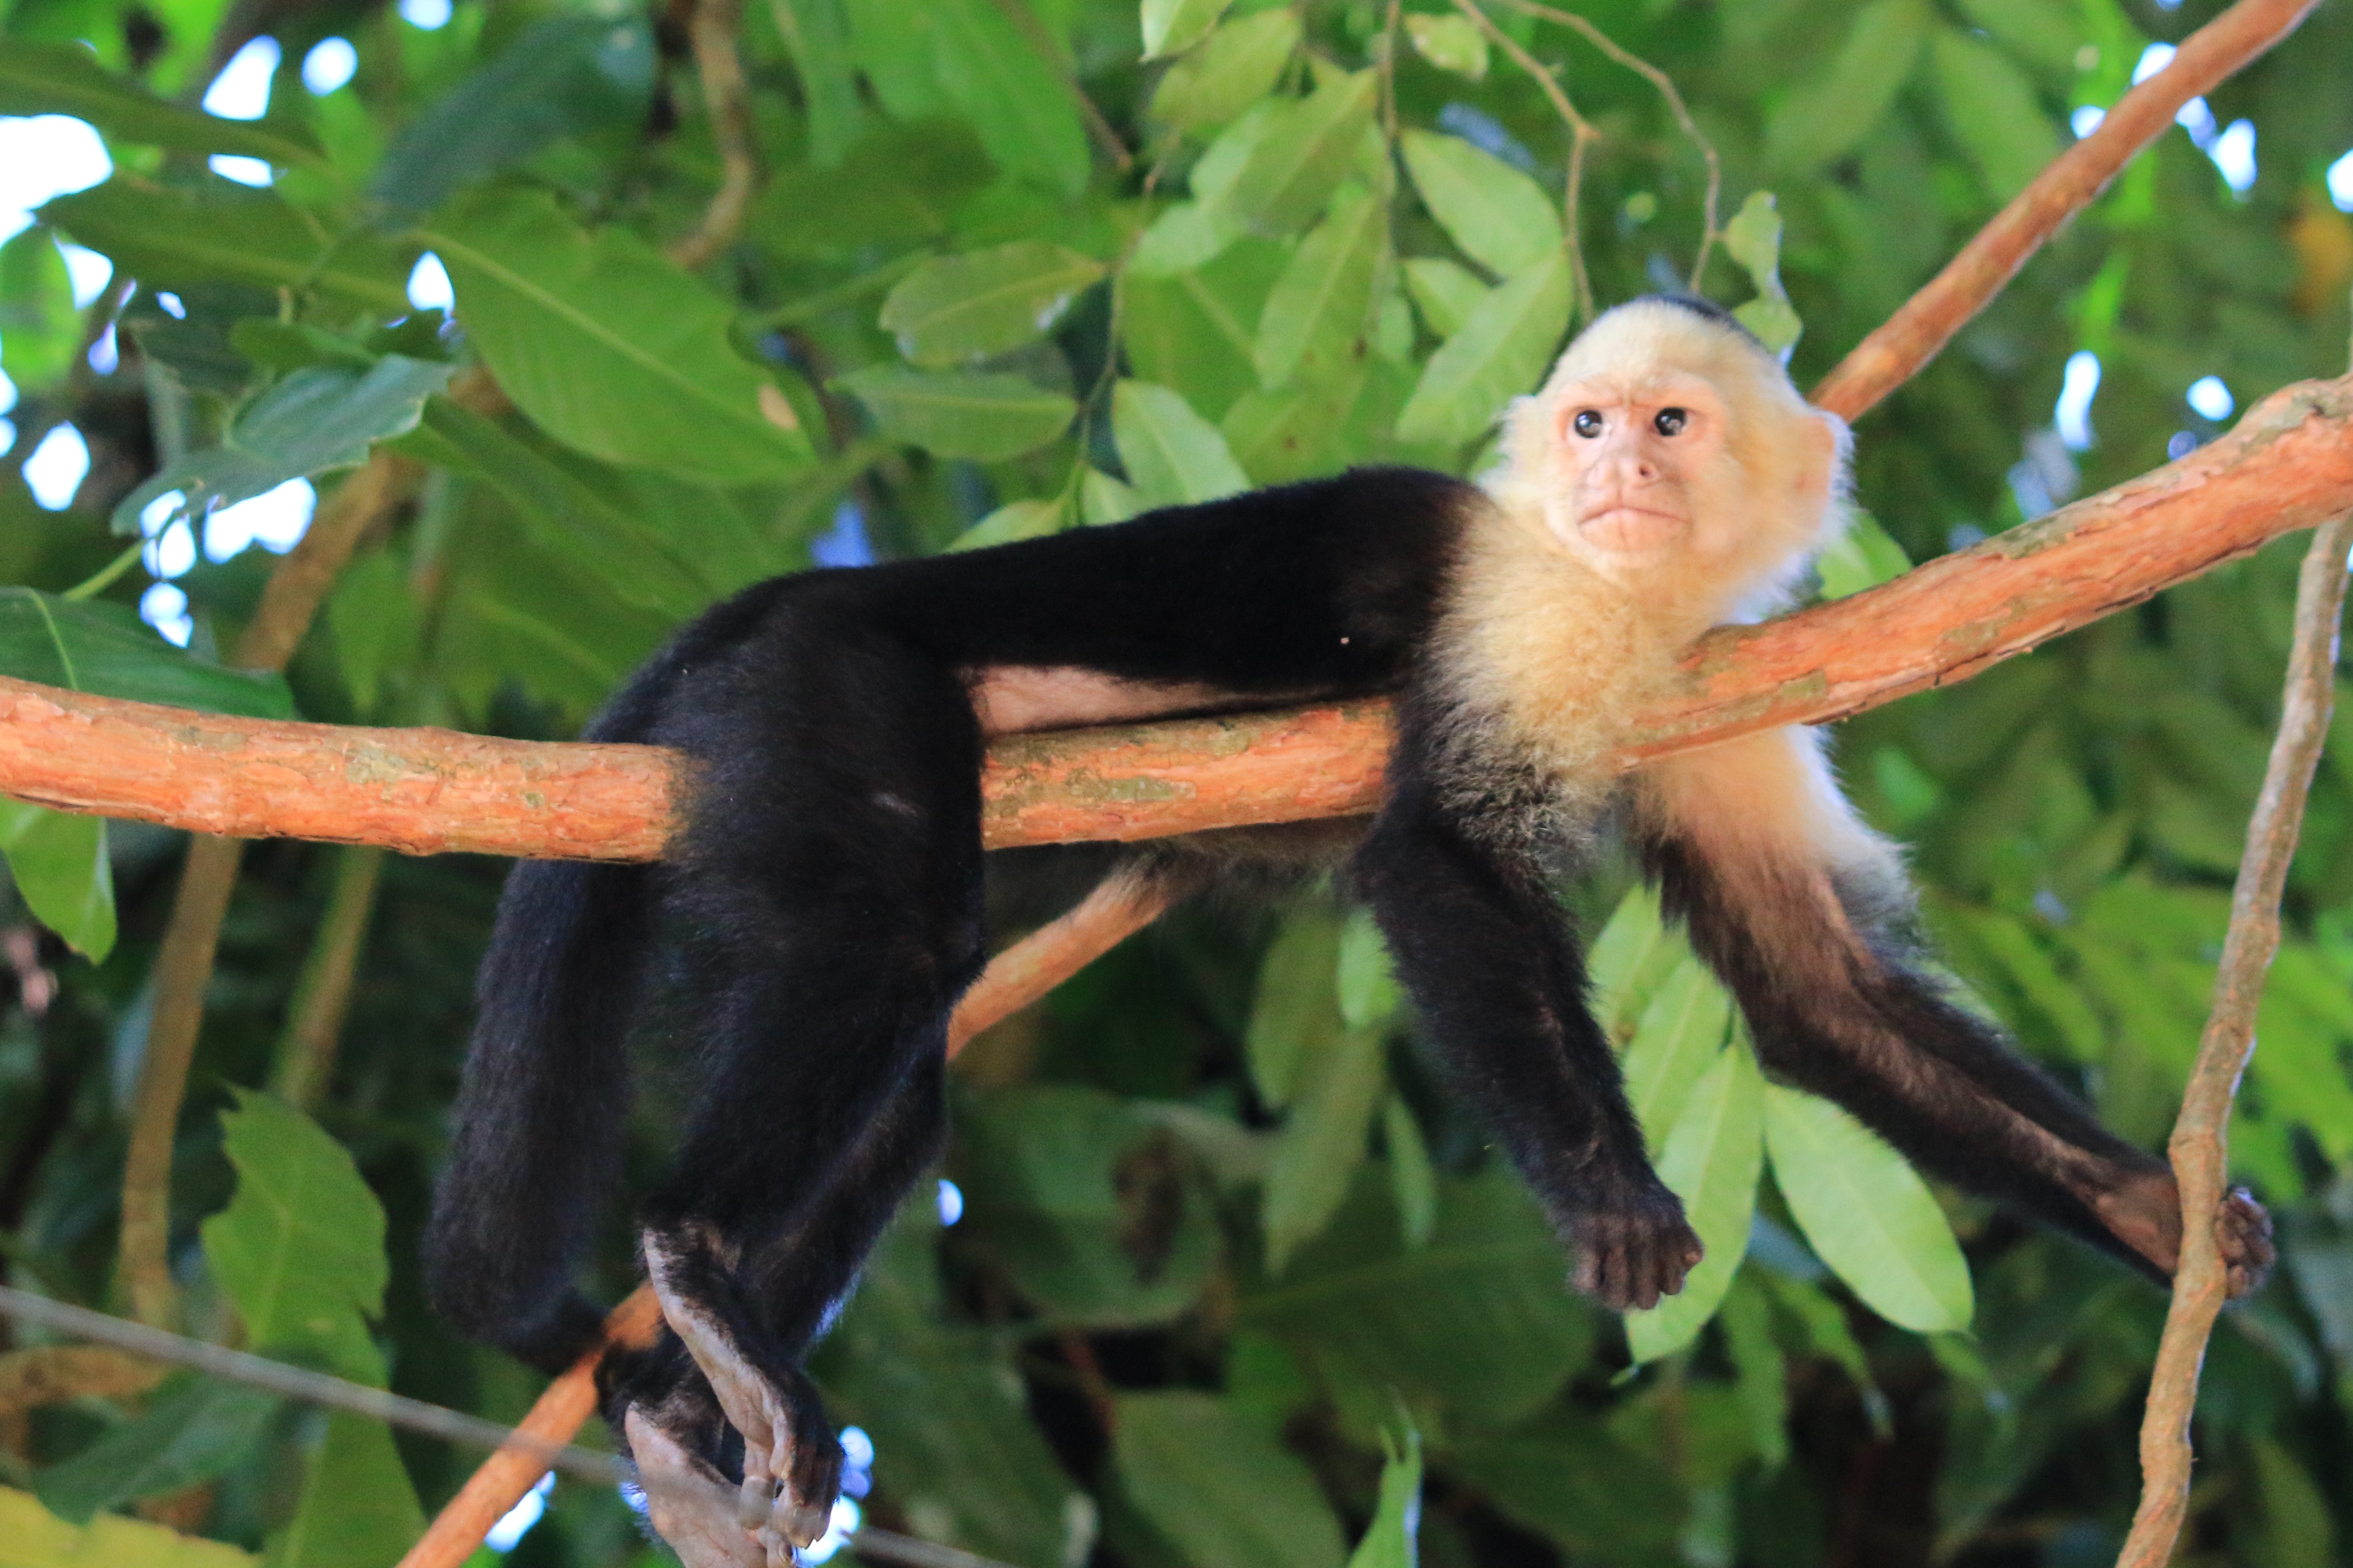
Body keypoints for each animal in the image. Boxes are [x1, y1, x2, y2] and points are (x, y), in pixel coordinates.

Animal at [428, 296, 2277, 1563]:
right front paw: (1611, 1199)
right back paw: (698, 1263)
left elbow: (1812, 992)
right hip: (830, 690)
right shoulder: (1534, 610)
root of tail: (785, 603)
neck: (1626, 599)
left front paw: (2151, 1205)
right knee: (895, 949)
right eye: (1588, 422)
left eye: (1671, 423)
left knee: (905, 1096)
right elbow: (1438, 856)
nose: (1615, 469)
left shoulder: (1722, 688)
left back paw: (687, 1414)